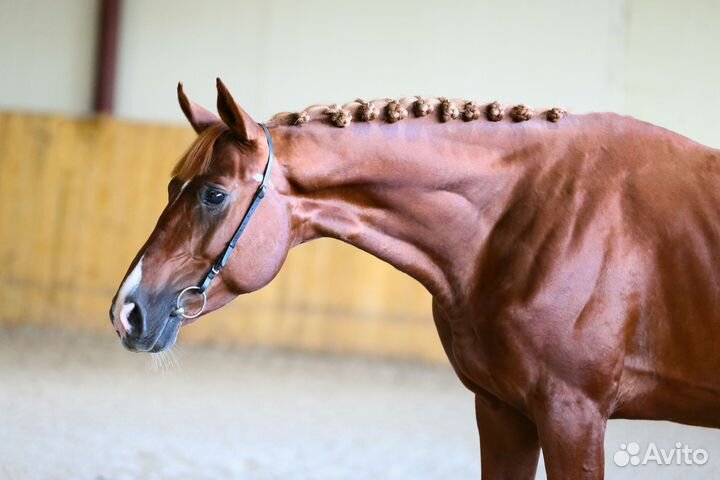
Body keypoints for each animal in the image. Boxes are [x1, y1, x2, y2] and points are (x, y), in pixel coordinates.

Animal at [110, 78, 720, 479]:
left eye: (213, 195)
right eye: (172, 187)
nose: (126, 311)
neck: (527, 213)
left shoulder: (574, 416)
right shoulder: (504, 412)